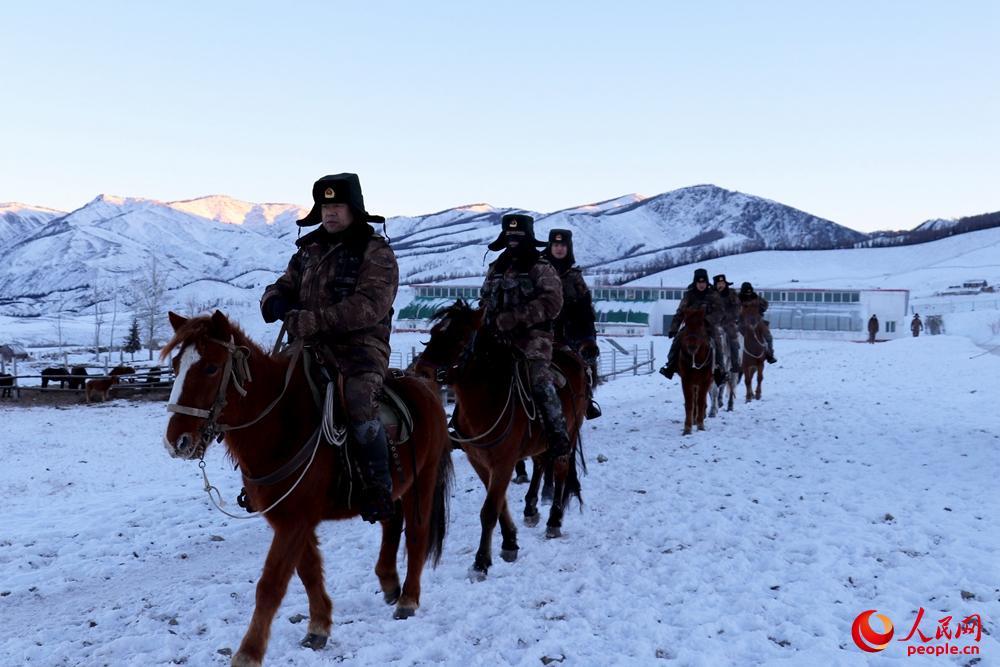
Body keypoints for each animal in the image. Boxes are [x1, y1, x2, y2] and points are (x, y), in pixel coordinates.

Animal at [162, 314, 452, 667]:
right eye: (176, 365)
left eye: (210, 368)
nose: (177, 441)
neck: (281, 424)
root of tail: (426, 388)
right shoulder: (290, 519)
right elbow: (308, 571)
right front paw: (319, 627)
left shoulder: (295, 521)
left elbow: (271, 584)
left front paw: (249, 652)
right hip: (391, 490)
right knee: (391, 521)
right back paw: (388, 581)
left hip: (423, 481)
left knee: (417, 535)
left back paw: (408, 599)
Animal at [410, 302, 588, 580]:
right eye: (435, 332)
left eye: (460, 338)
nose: (422, 371)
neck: (487, 398)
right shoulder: (480, 461)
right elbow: (499, 503)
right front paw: (510, 542)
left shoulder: (504, 461)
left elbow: (489, 509)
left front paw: (481, 562)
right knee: (541, 464)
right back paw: (531, 509)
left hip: (569, 433)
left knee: (560, 470)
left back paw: (554, 520)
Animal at [676, 306, 716, 436]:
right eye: (686, 326)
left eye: (700, 326)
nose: (691, 346)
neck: (696, 359)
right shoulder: (686, 380)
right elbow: (690, 403)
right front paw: (687, 428)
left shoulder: (705, 381)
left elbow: (700, 401)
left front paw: (700, 425)